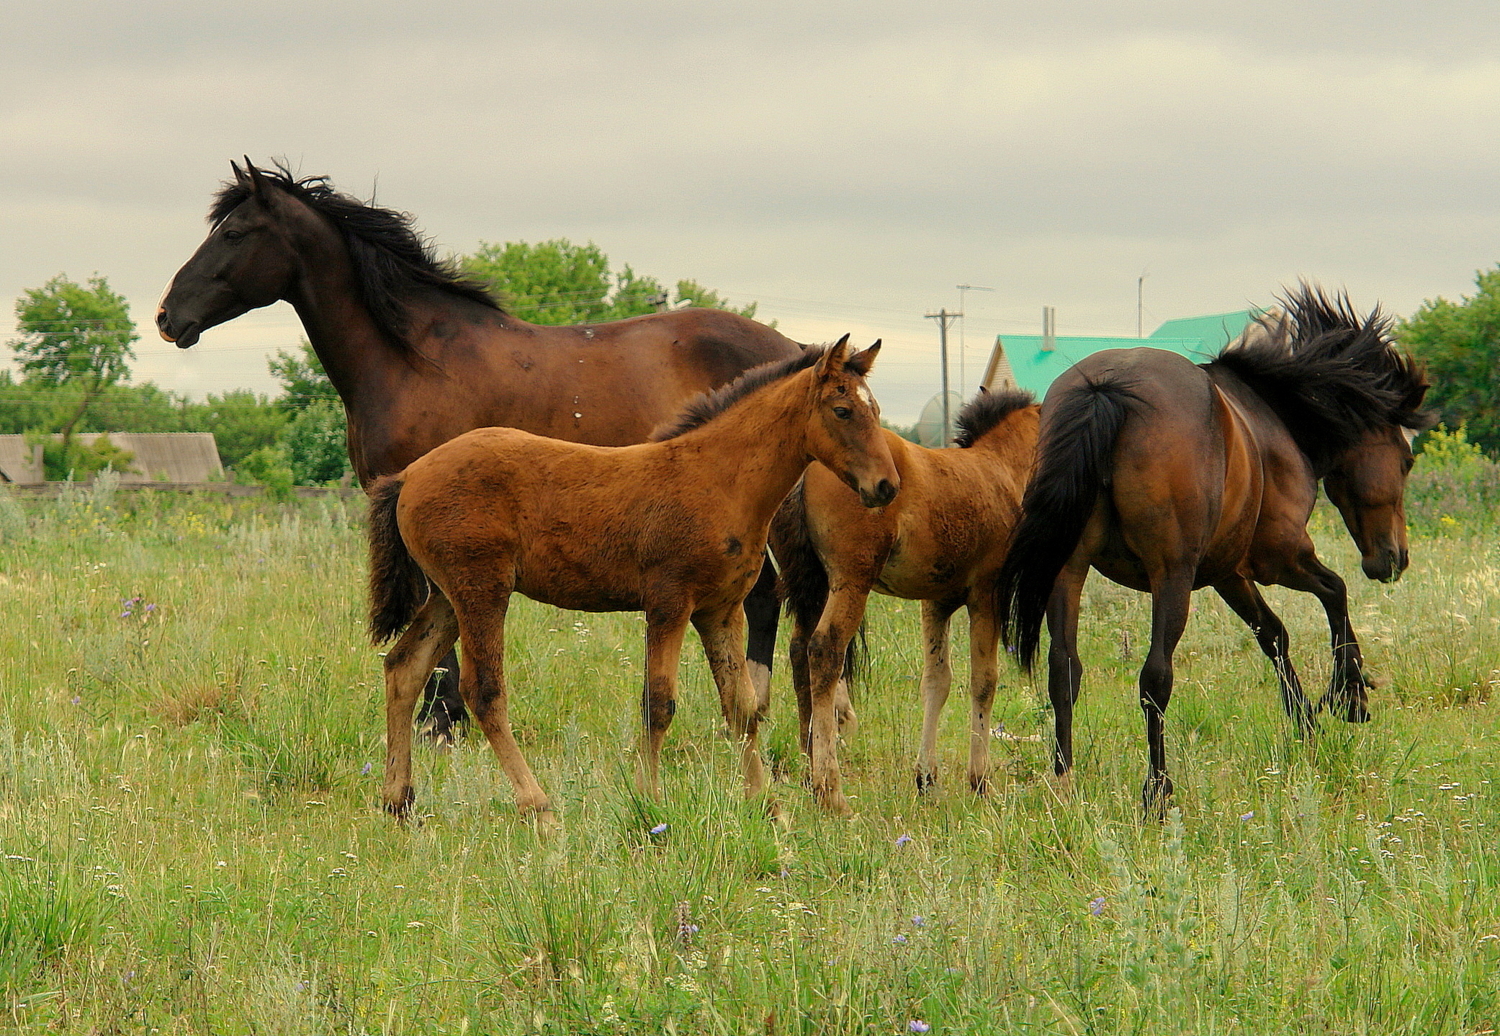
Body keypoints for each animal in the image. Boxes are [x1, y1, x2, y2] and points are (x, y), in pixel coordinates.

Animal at [156, 160, 804, 737]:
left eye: (233, 234)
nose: (167, 317)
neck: (415, 359)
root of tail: (795, 349)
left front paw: (441, 723)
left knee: (767, 597)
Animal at [367, 335, 894, 821]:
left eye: (876, 408)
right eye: (843, 410)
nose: (887, 486)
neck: (719, 479)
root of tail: (407, 476)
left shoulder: (721, 610)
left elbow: (741, 707)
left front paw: (766, 805)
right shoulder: (669, 603)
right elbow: (658, 703)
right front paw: (648, 801)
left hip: (446, 595)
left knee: (404, 668)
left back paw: (398, 799)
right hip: (481, 589)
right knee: (483, 690)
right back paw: (538, 806)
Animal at [996, 287, 1428, 815]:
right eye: (1406, 461)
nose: (1393, 559)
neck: (1275, 421)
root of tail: (1106, 389)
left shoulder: (1229, 574)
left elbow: (1274, 635)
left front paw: (1307, 721)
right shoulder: (1280, 557)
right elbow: (1335, 593)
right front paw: (1349, 695)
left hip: (1069, 570)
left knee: (1064, 671)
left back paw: (1064, 782)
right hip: (1172, 577)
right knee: (1154, 679)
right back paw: (1157, 792)